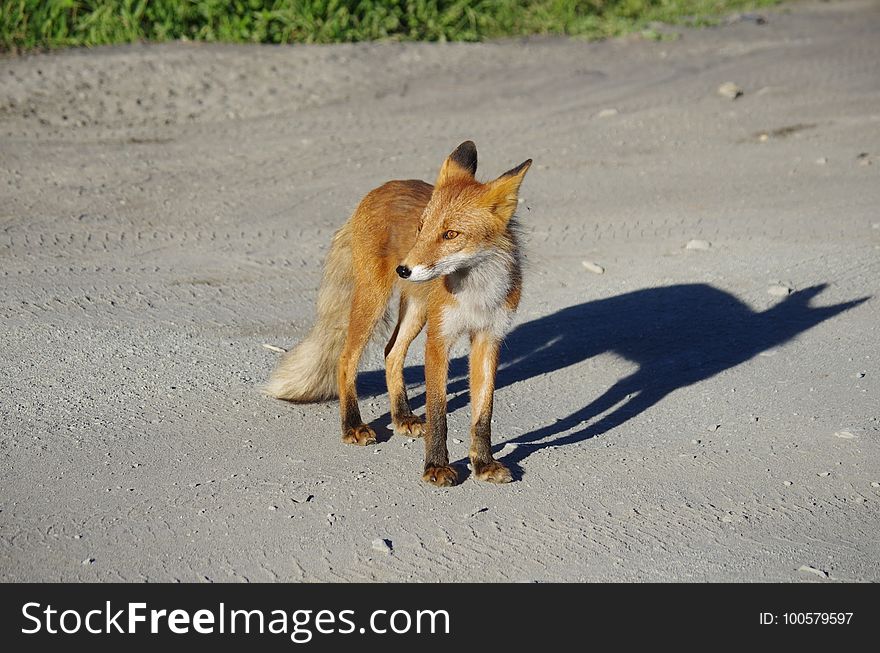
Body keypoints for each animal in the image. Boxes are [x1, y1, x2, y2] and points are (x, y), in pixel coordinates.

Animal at [264, 144, 532, 488]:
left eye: (450, 234)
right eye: (421, 227)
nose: (403, 269)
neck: (477, 292)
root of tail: (383, 187)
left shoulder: (489, 339)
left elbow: (483, 414)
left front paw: (483, 463)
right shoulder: (439, 339)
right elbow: (438, 413)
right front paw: (436, 467)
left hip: (416, 310)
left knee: (391, 352)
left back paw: (401, 416)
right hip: (374, 301)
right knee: (346, 358)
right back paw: (352, 425)